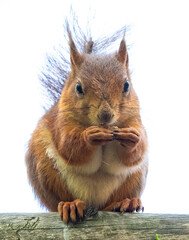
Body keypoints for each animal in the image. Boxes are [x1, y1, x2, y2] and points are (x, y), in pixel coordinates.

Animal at [25, 23, 148, 224]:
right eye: (78, 88)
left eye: (126, 85)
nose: (105, 116)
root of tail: (95, 204)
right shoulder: (61, 123)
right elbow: (68, 146)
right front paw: (91, 136)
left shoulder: (135, 120)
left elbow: (136, 151)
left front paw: (132, 138)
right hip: (46, 174)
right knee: (59, 200)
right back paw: (70, 205)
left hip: (134, 178)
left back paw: (126, 202)